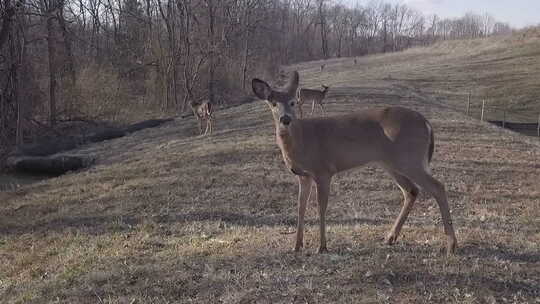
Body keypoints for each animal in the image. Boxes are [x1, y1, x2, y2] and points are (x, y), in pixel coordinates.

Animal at [251, 71, 458, 256]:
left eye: (293, 102)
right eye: (273, 103)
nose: (286, 119)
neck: (301, 141)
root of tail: (426, 123)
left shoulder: (323, 171)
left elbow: (321, 207)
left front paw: (322, 247)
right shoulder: (303, 176)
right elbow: (300, 208)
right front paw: (296, 246)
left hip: (410, 158)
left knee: (437, 186)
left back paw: (451, 244)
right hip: (391, 163)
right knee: (411, 190)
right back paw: (390, 237)